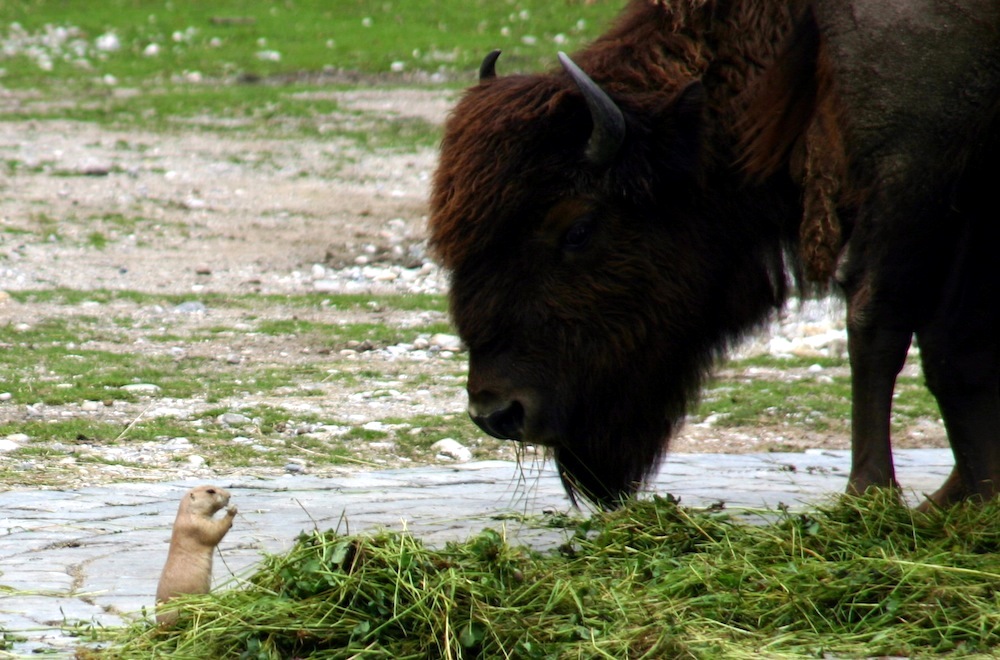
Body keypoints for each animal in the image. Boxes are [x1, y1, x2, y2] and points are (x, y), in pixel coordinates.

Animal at [428, 0, 1000, 508]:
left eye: (578, 229)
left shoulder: (914, 164)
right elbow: (950, 343)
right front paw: (967, 496)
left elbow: (881, 321)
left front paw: (874, 495)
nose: (497, 412)